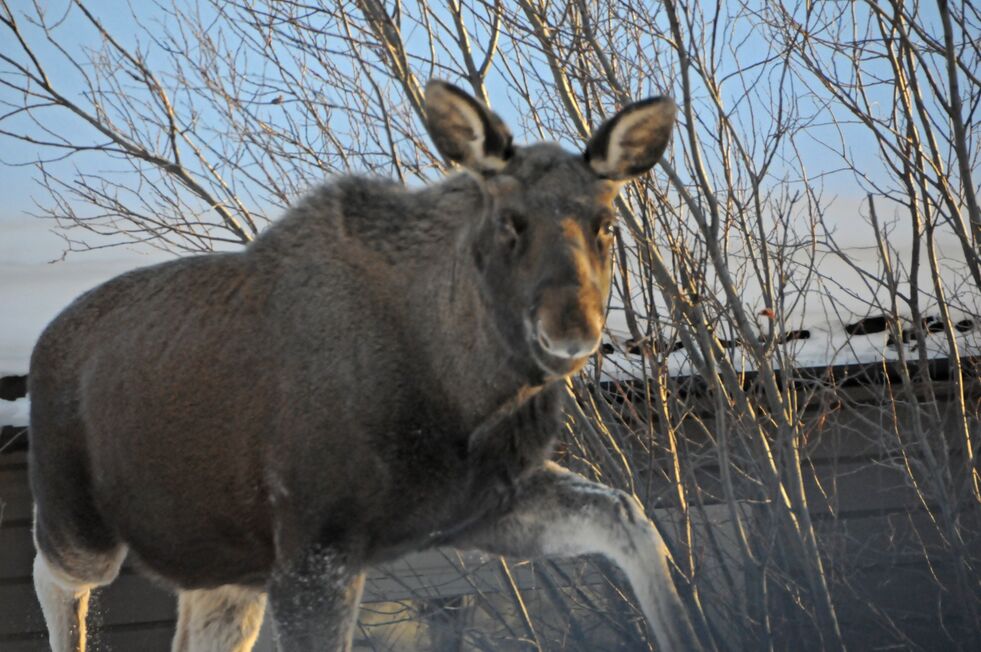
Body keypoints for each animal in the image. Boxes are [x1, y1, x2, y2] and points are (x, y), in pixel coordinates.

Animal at [24, 81, 696, 652]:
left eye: (606, 223)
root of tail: (42, 344)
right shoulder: (315, 548)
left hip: (225, 563)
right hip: (83, 526)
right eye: (511, 221)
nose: (572, 328)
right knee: (49, 573)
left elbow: (630, 519)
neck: (467, 396)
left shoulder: (475, 507)